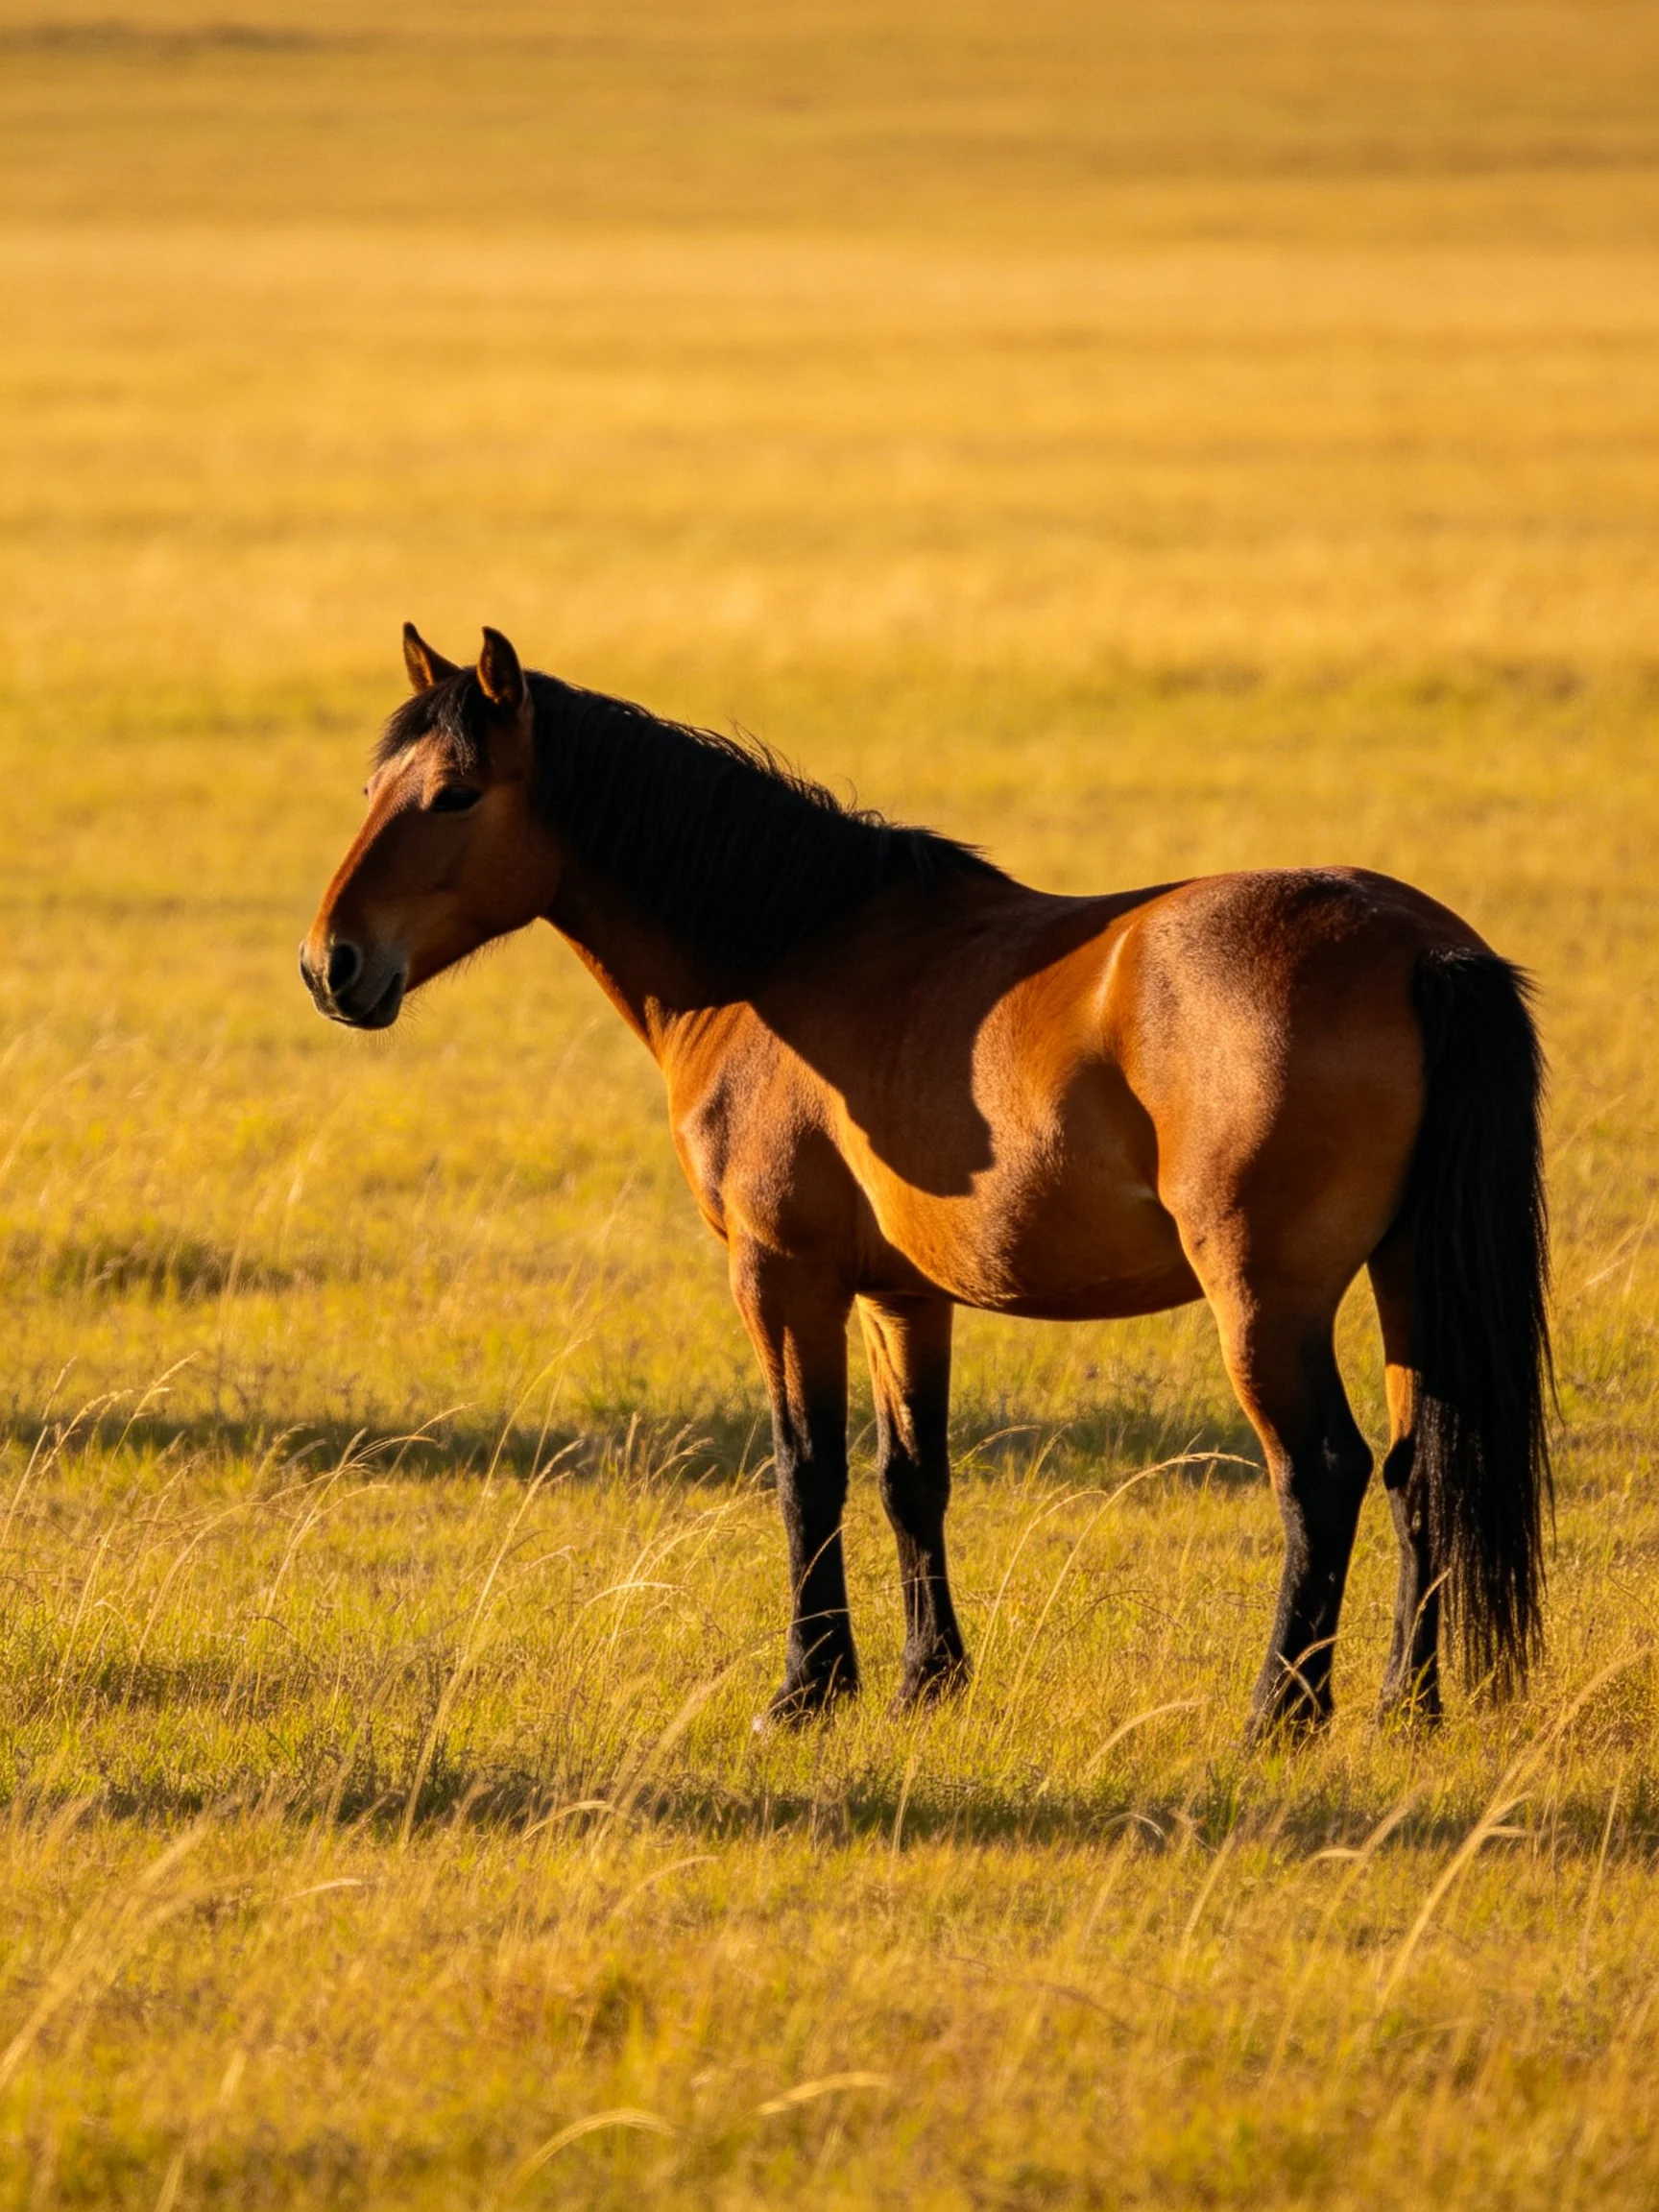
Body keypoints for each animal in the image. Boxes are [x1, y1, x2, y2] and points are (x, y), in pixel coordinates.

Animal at [301, 625, 1552, 1735]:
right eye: (369, 785)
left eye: (455, 793)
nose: (331, 965)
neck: (779, 954)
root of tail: (1419, 948)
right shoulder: (903, 1297)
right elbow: (913, 1476)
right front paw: (924, 1682)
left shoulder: (781, 1277)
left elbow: (806, 1471)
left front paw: (806, 1692)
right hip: (1409, 1281)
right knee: (1422, 1472)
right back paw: (1406, 1706)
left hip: (1264, 1300)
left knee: (1323, 1474)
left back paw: (1279, 1713)